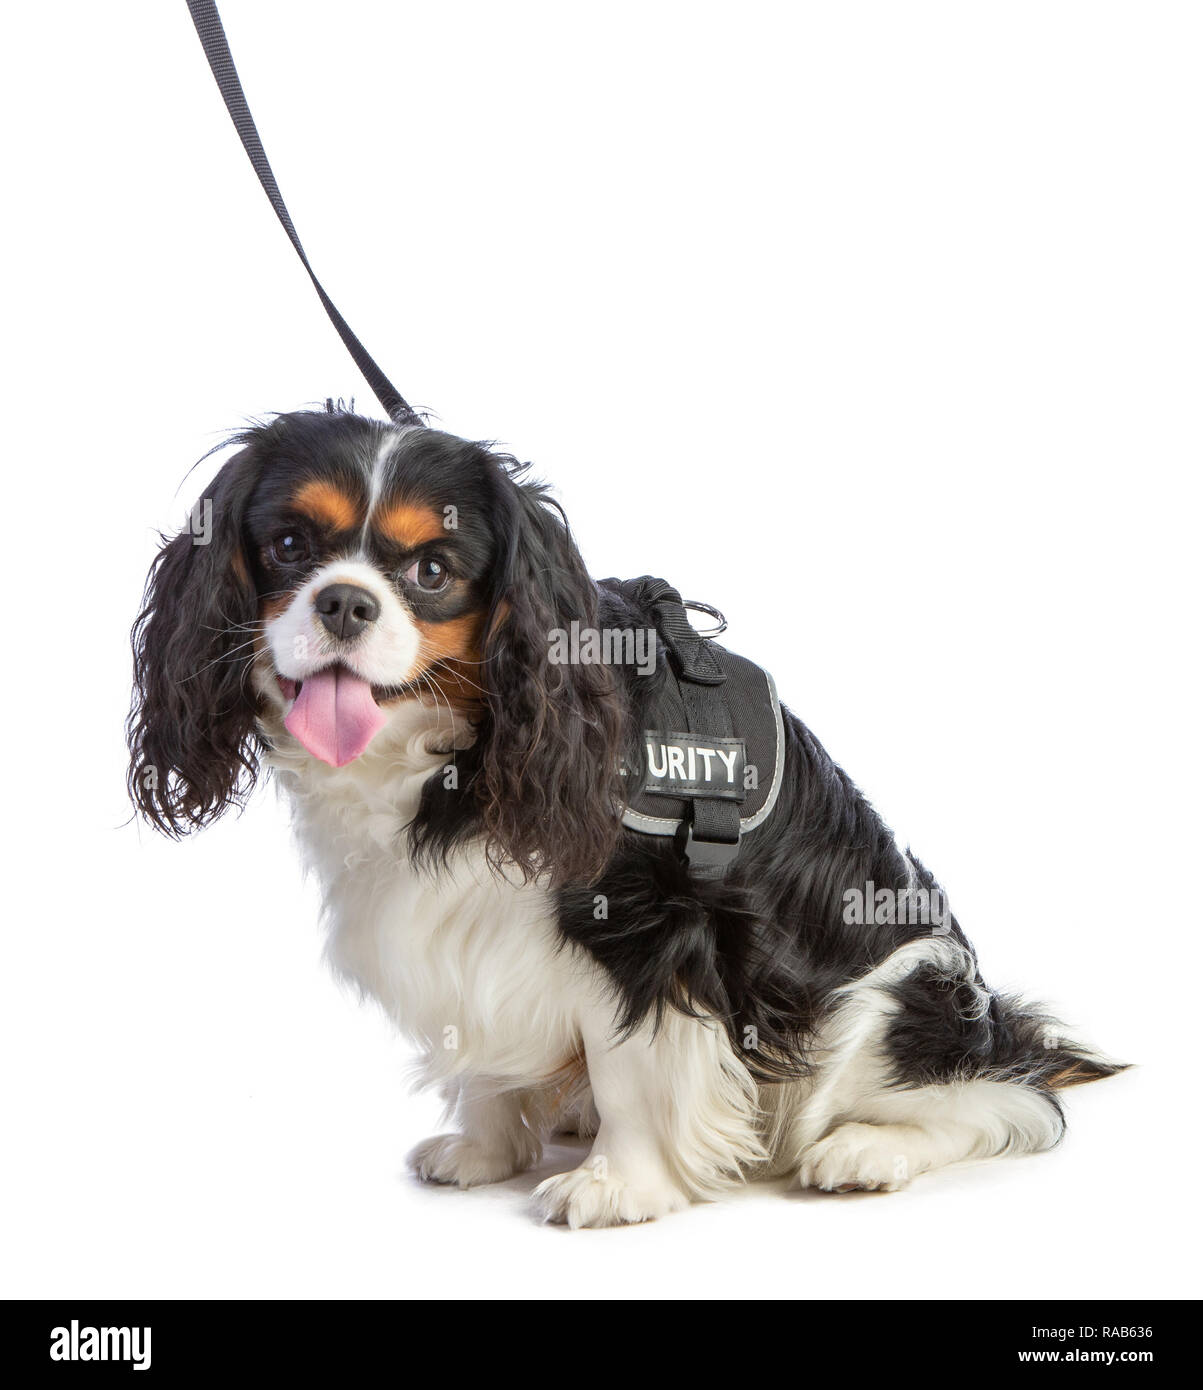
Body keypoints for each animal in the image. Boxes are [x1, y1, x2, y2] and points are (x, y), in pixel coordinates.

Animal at [126, 405, 1123, 1228]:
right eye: (290, 545)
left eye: (433, 570)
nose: (343, 601)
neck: (460, 749)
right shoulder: (464, 922)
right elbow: (481, 1040)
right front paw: (486, 1149)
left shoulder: (649, 920)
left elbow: (633, 1058)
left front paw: (620, 1184)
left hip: (885, 995)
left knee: (1006, 1099)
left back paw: (867, 1148)